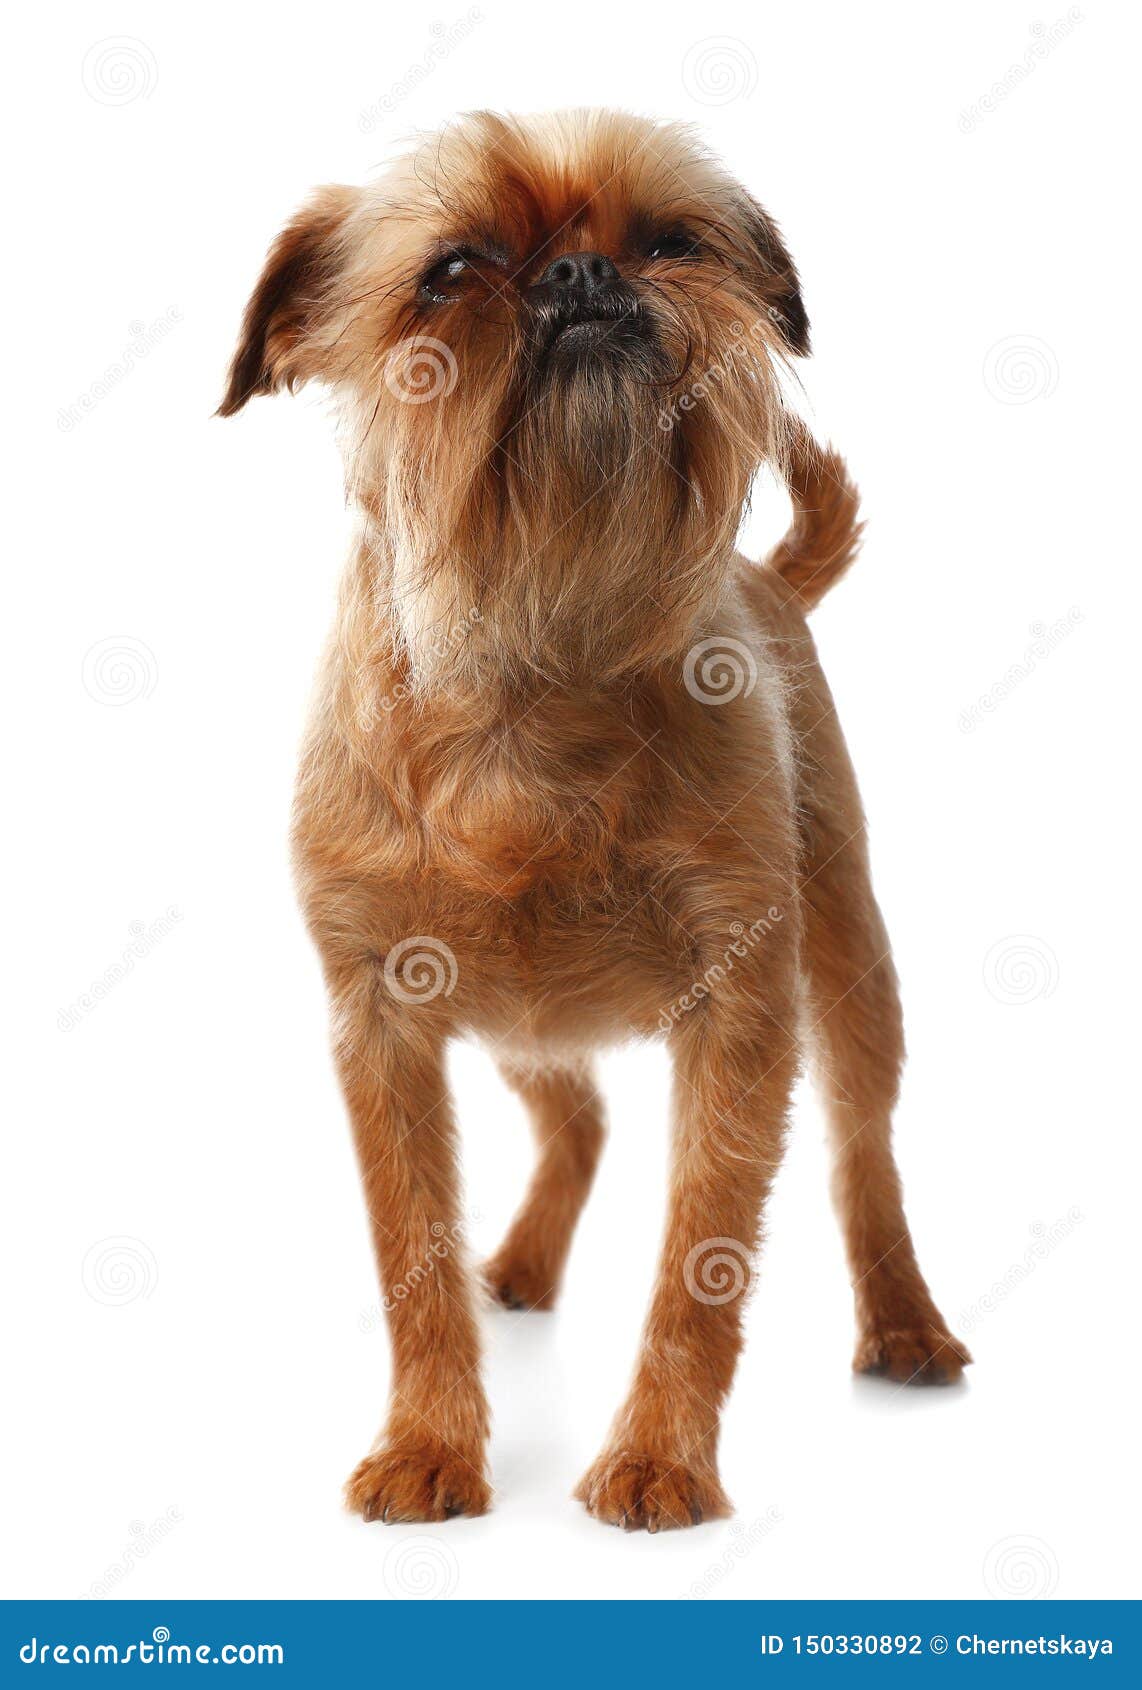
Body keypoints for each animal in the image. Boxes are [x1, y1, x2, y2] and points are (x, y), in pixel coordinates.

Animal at [217, 109, 966, 1534]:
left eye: (671, 242)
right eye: (451, 271)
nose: (578, 276)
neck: (536, 652)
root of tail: (765, 582)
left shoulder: (743, 1011)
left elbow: (703, 1256)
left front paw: (660, 1457)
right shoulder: (380, 1016)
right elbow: (410, 1251)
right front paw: (430, 1441)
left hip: (848, 964)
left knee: (864, 1152)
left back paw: (903, 1324)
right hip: (520, 1016)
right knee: (575, 1118)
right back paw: (517, 1261)